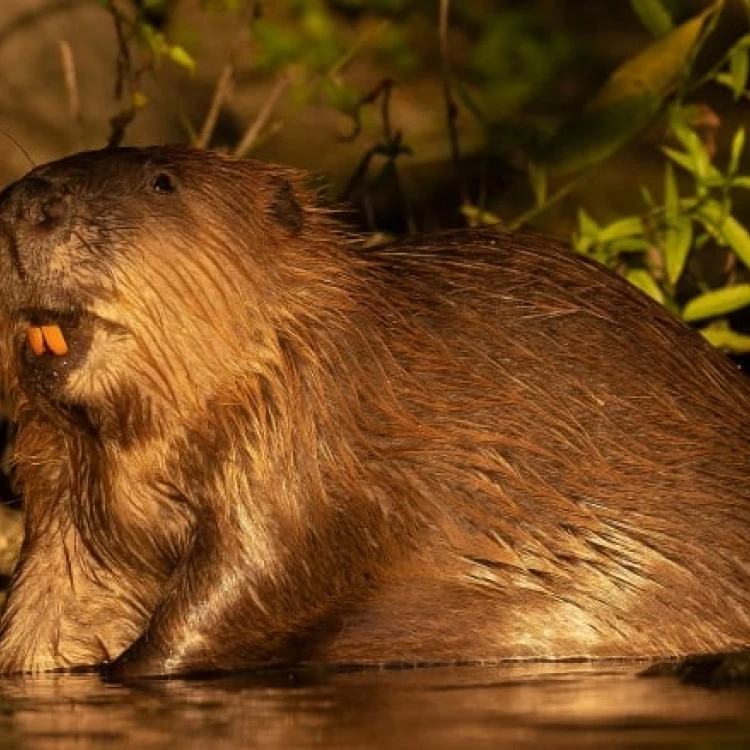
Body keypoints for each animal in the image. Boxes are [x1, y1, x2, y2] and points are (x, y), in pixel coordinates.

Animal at [0, 147, 750, 680]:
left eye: (162, 182)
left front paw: (132, 665)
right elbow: (50, 600)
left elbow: (253, 575)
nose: (26, 205)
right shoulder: (64, 489)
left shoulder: (313, 433)